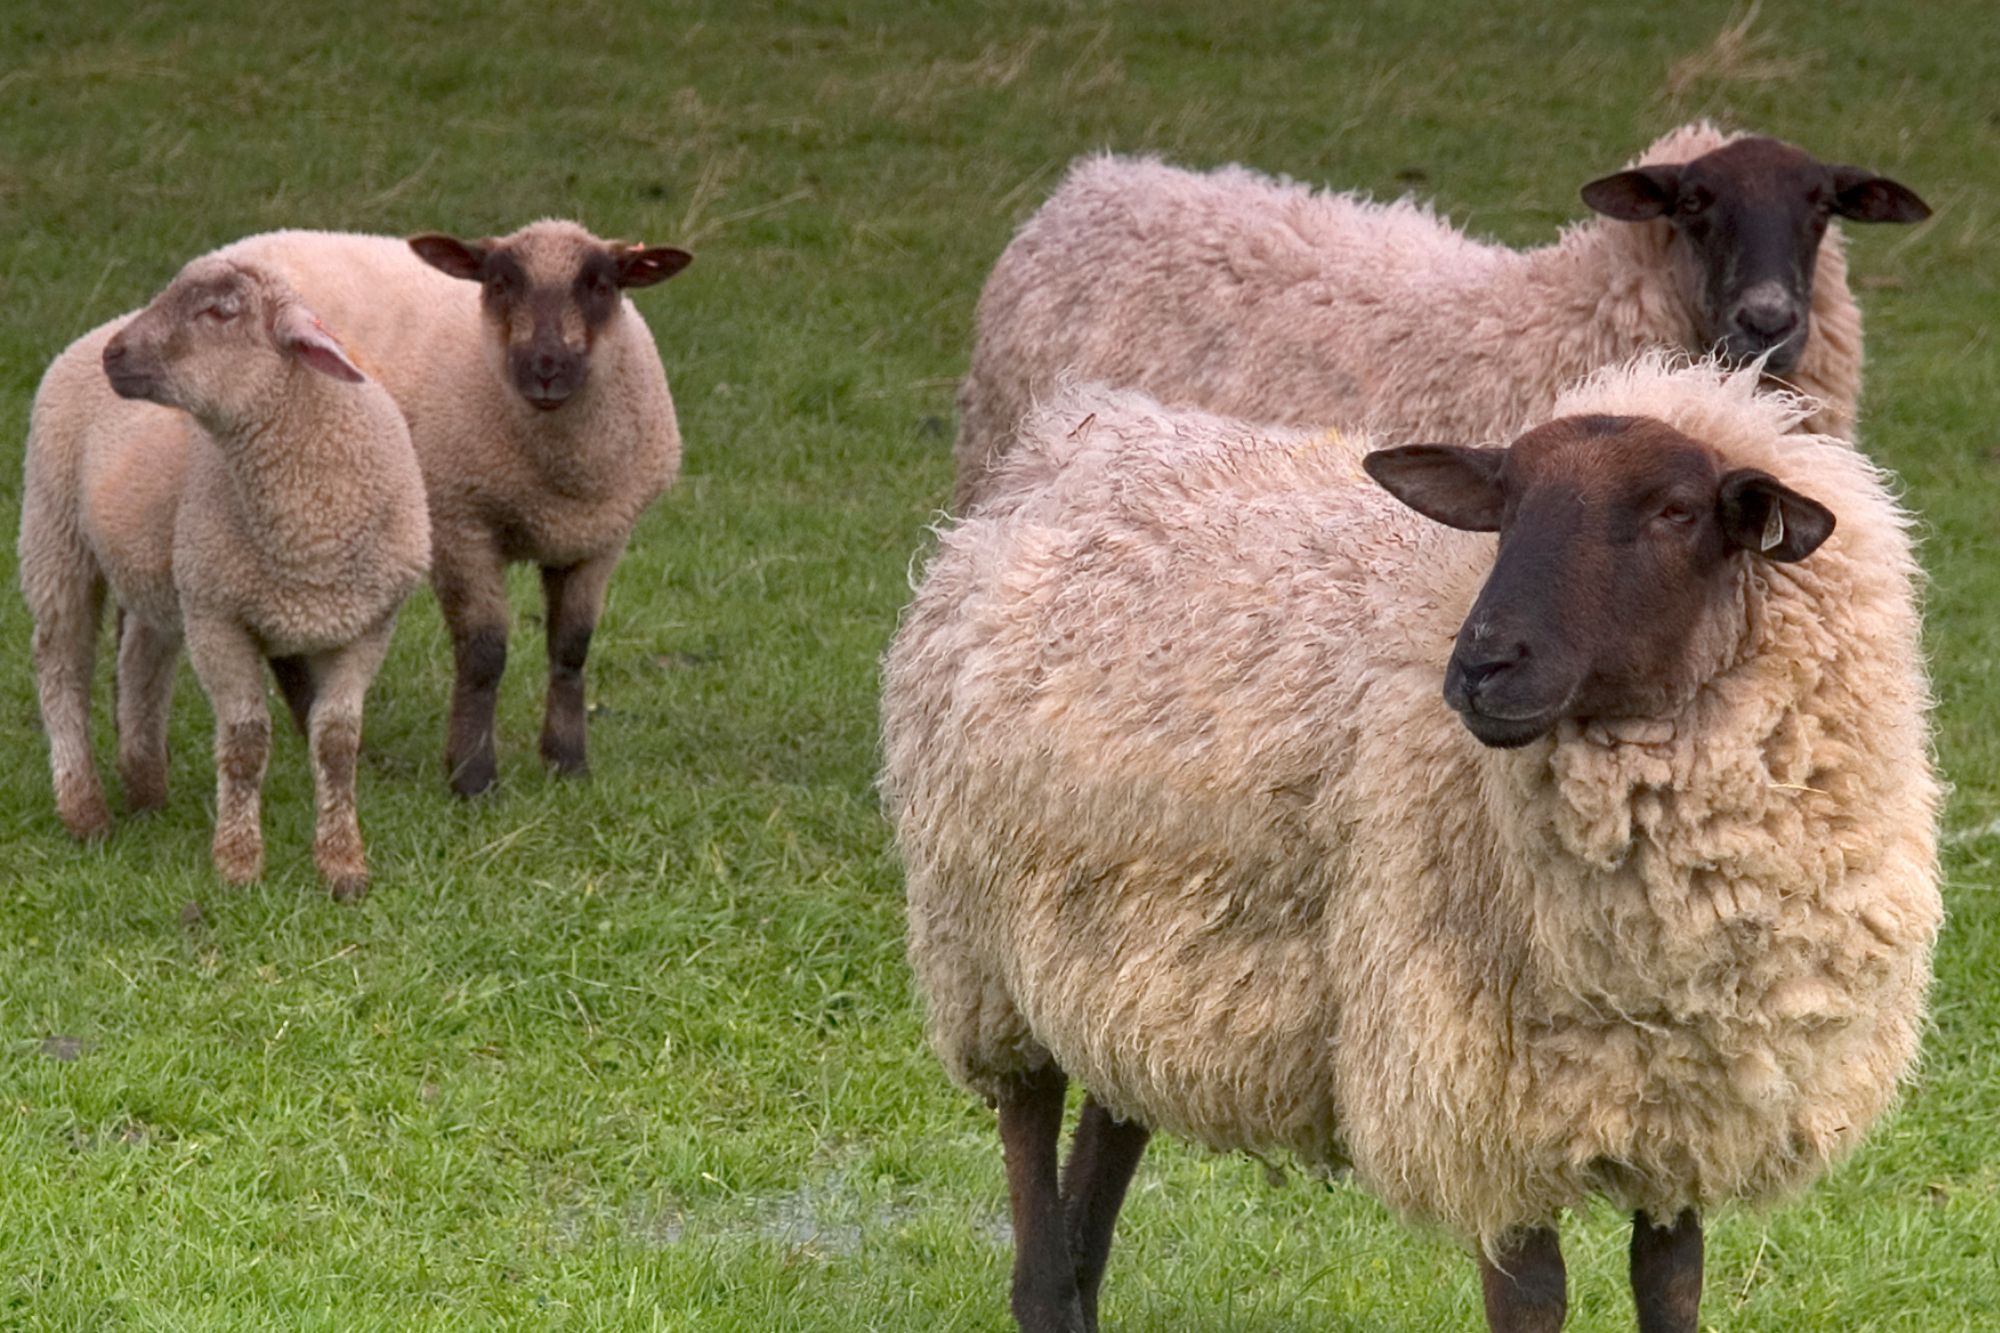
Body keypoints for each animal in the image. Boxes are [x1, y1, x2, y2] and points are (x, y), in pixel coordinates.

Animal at [19, 254, 432, 896]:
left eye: (220, 312)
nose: (115, 355)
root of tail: (90, 332)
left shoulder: (366, 627)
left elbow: (338, 744)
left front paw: (343, 866)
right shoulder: (219, 619)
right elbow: (244, 743)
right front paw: (238, 865)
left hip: (161, 569)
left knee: (140, 666)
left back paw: (146, 789)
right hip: (54, 531)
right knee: (62, 668)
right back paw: (85, 811)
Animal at [202, 220, 688, 788]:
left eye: (602, 286)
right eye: (498, 284)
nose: (546, 368)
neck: (558, 474)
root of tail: (240, 248)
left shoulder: (600, 537)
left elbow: (571, 647)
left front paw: (567, 763)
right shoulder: (461, 524)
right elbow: (483, 653)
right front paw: (473, 776)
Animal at [884, 356, 1944, 1328]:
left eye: (1678, 511)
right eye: (1505, 507)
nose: (1482, 664)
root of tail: (1074, 439)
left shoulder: (1687, 1112)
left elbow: (1670, 1281)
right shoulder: (1479, 1103)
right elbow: (1534, 1300)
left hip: (1139, 962)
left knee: (1110, 1125)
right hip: (982, 943)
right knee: (1029, 1125)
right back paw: (1042, 1278)